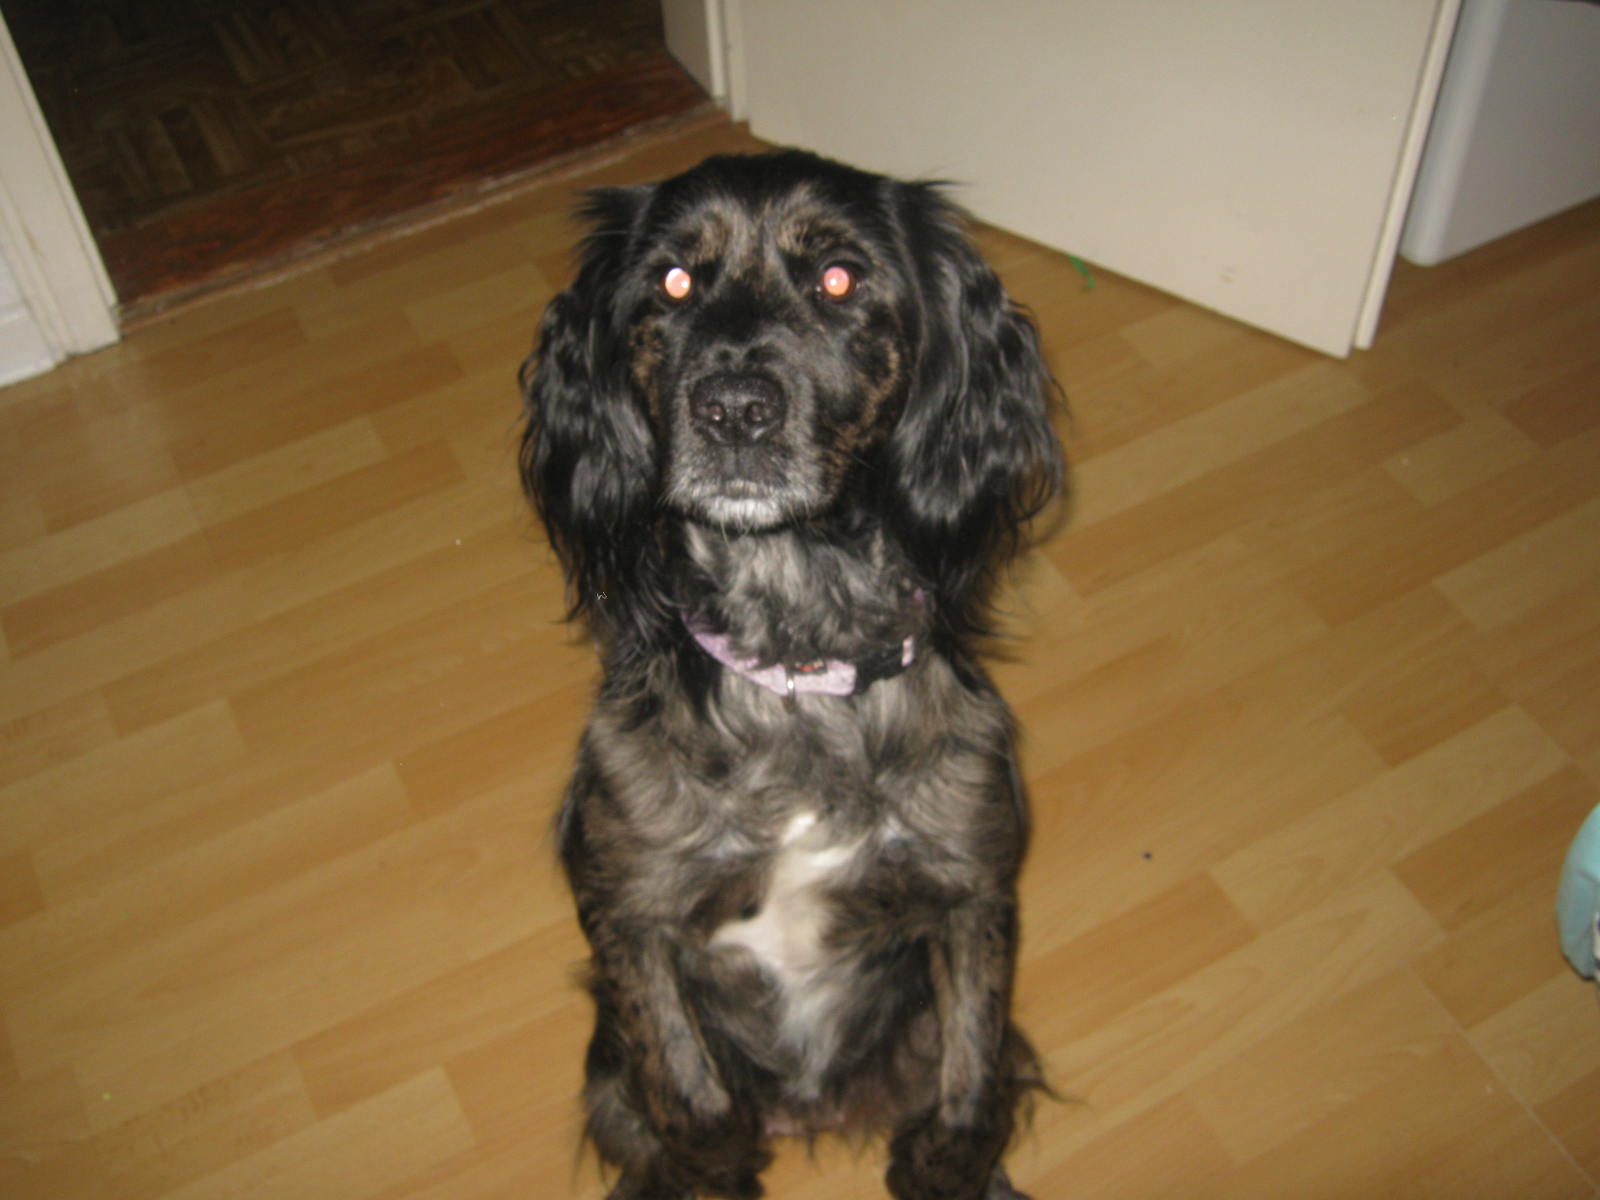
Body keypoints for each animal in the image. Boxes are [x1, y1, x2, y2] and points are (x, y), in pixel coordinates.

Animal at [521, 150, 1062, 1200]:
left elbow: (964, 1109)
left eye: (840, 280)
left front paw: (944, 1167)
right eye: (672, 283)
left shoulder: (972, 895)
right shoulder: (634, 920)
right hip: (609, 1071)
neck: (797, 660)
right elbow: (693, 1109)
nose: (735, 411)